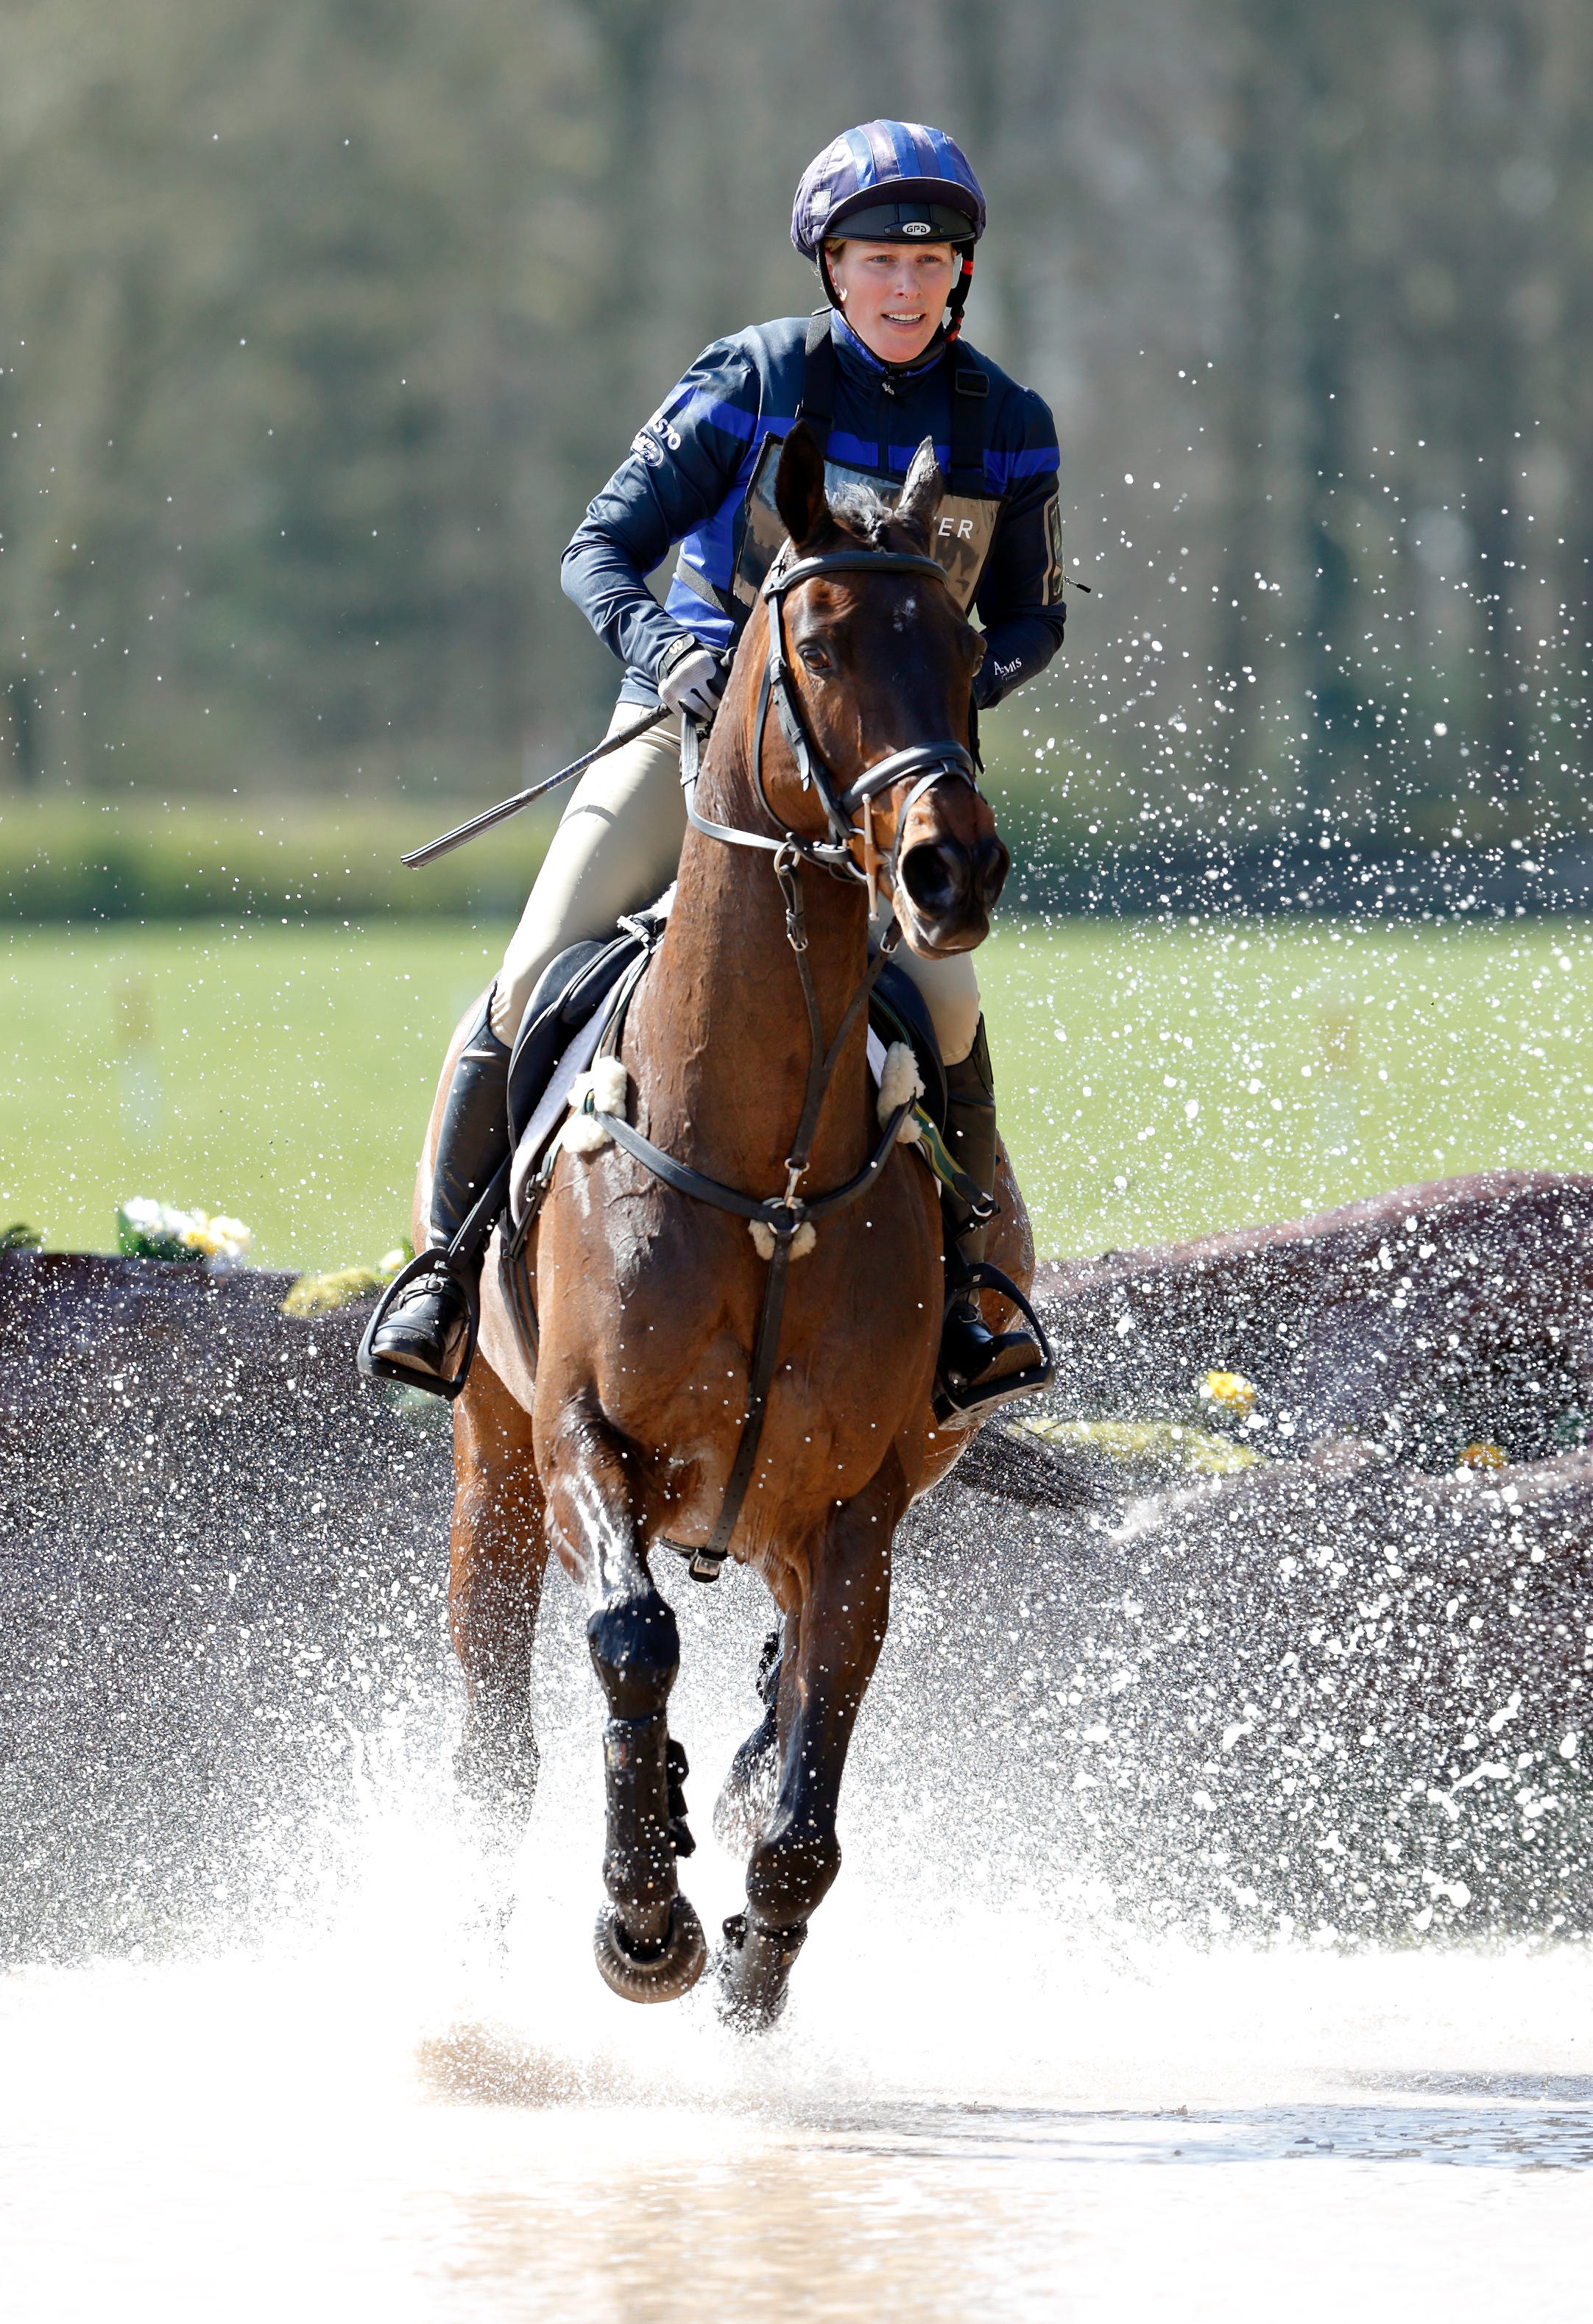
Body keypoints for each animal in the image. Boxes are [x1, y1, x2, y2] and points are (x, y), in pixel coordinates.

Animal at [428, 428, 1036, 2026]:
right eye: (814, 641)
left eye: (964, 646)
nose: (949, 869)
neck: (763, 1170)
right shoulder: (578, 1433)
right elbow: (629, 1636)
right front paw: (644, 1920)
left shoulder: (856, 1500)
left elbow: (814, 1771)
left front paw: (753, 1951)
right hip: (491, 1461)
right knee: (497, 1735)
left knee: (768, 1681)